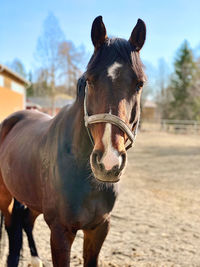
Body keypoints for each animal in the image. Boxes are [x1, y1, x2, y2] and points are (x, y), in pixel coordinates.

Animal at [0, 15, 147, 266]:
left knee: (27, 220)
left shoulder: (99, 228)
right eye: (90, 79)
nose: (108, 162)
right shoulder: (61, 231)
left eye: (139, 83)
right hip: (5, 195)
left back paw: (35, 258)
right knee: (12, 229)